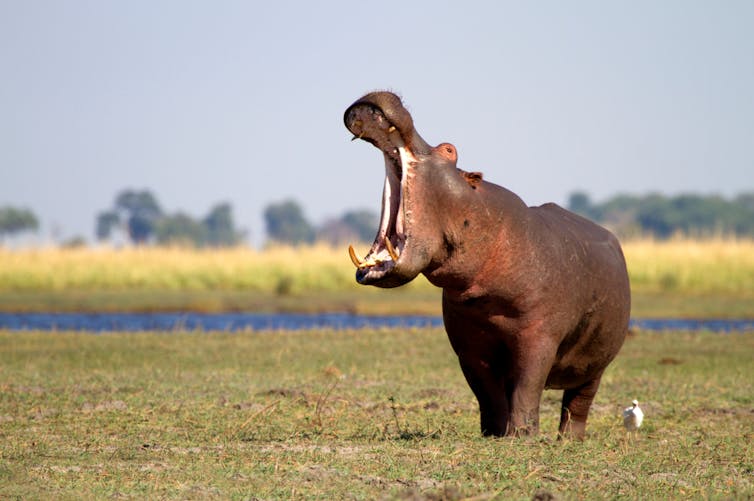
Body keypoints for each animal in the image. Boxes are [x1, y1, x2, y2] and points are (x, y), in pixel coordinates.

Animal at [344, 91, 631, 438]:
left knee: (577, 404)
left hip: (597, 364)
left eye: (449, 149)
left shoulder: (539, 339)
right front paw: (494, 434)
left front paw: (521, 437)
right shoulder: (469, 346)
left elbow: (527, 387)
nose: (385, 96)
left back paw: (568, 441)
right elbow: (487, 392)